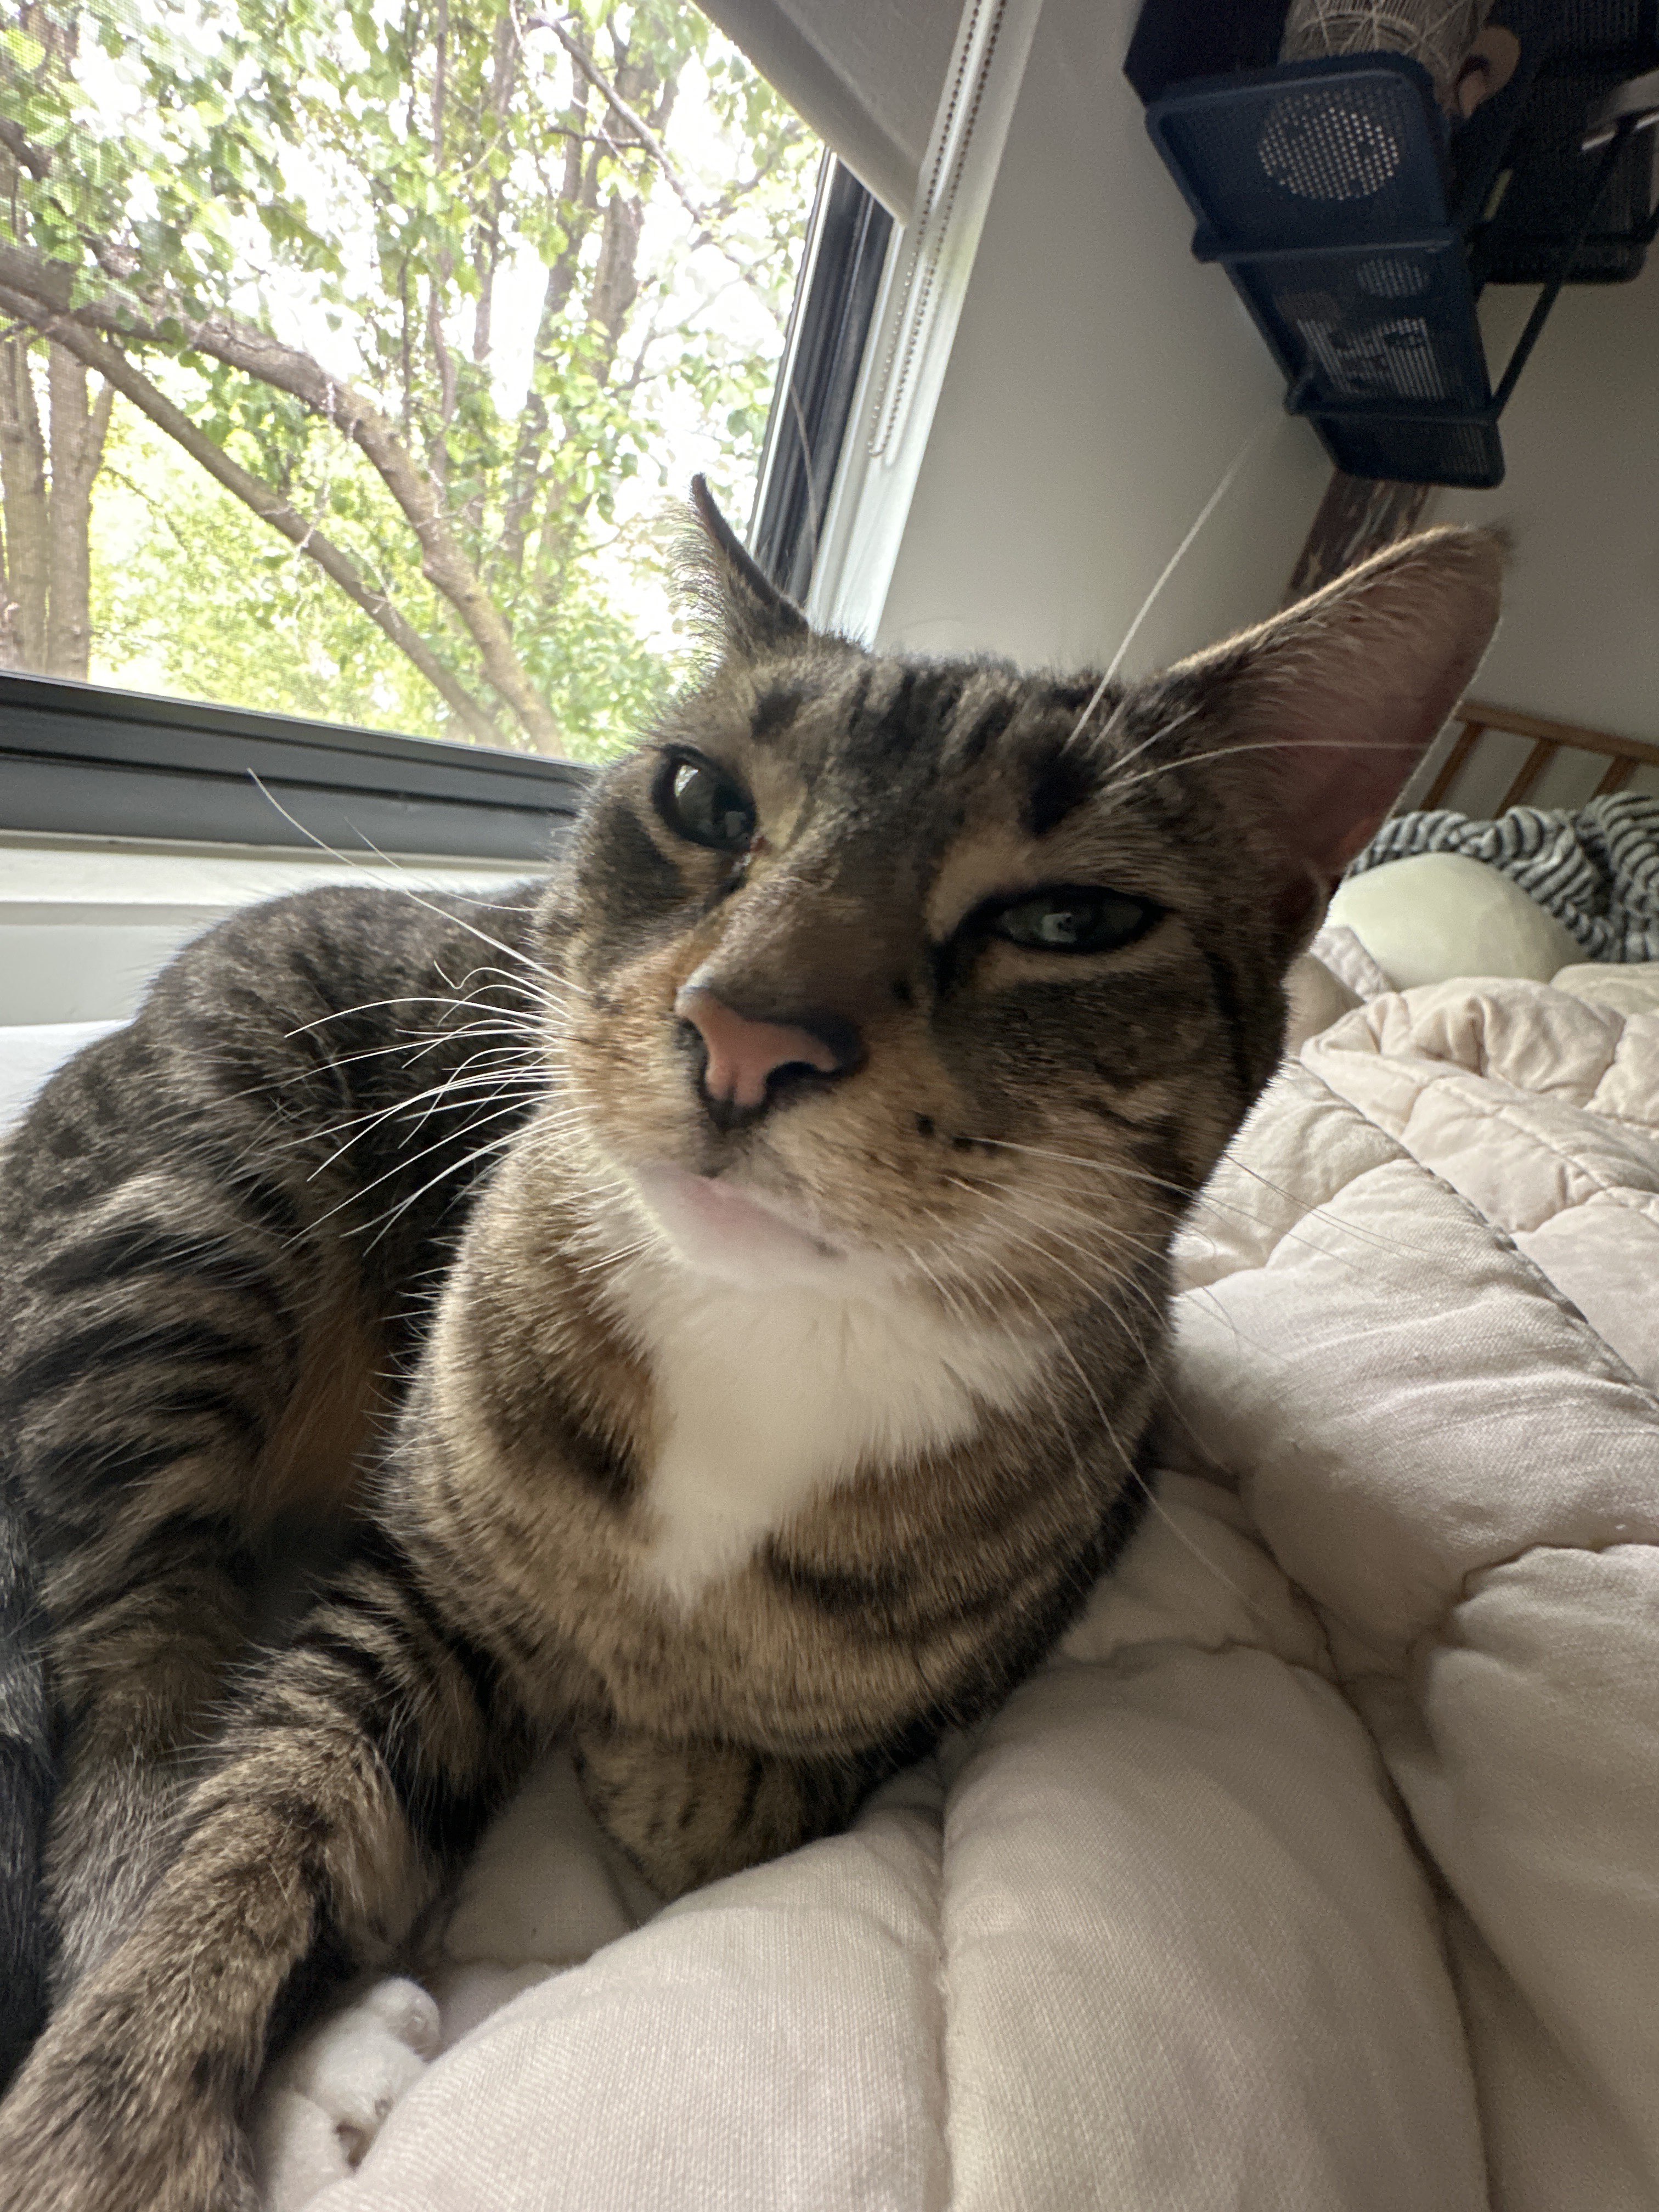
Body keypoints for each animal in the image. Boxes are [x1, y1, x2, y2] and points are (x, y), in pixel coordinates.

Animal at [0, 482, 1500, 2209]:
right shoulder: (417, 1571)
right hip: (194, 1216)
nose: (745, 1029)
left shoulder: (1077, 1537)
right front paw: (116, 2126)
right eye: (705, 799)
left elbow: (747, 1790)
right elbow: (264, 1810)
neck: (771, 1334)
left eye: (1071, 917)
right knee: (134, 1679)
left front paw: (661, 1750)